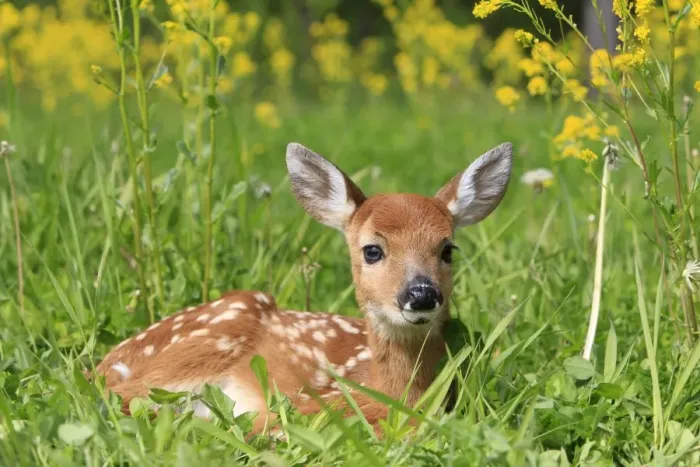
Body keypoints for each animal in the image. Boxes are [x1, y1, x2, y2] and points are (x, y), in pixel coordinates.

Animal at [94, 141, 513, 435]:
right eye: (372, 250)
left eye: (447, 249)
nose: (421, 294)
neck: (391, 391)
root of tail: (108, 359)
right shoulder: (307, 400)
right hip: (218, 332)